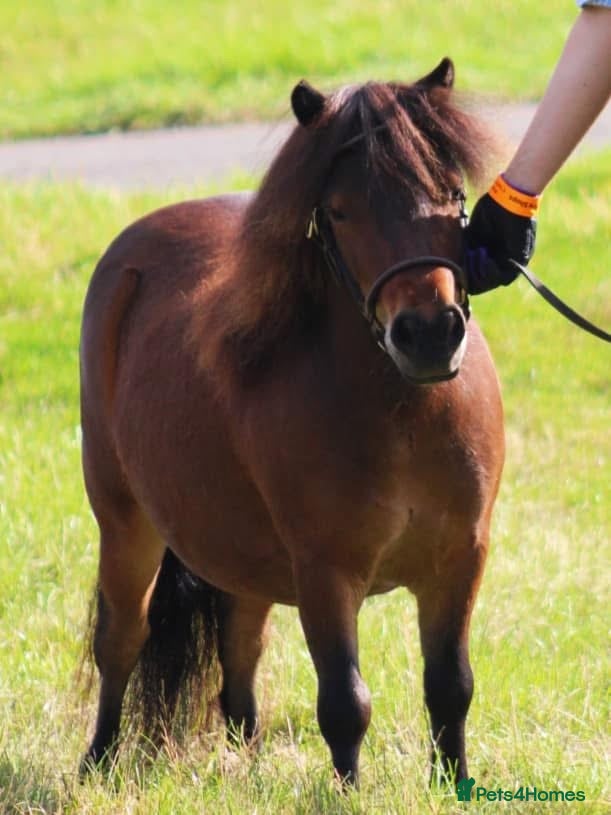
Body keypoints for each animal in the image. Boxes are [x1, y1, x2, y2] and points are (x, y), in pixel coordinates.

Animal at [79, 57, 504, 787]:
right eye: (339, 210)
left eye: (452, 193)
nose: (426, 333)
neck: (406, 419)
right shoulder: (324, 573)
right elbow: (345, 703)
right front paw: (348, 792)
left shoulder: (460, 557)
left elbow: (450, 688)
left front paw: (453, 784)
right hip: (125, 523)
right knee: (122, 640)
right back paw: (98, 761)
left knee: (239, 653)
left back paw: (245, 761)